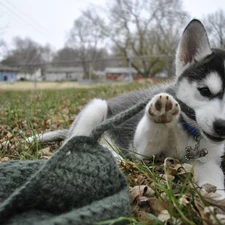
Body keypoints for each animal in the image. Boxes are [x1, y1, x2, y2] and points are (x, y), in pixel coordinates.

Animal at [30, 20, 225, 198]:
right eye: (204, 91)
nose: (221, 126)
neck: (189, 131)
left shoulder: (207, 159)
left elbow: (213, 176)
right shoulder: (142, 151)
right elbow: (151, 137)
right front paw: (161, 114)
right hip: (96, 108)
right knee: (72, 143)